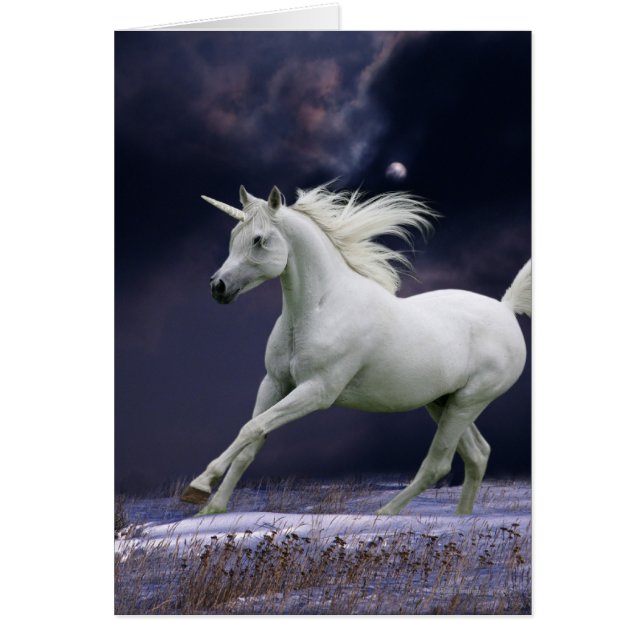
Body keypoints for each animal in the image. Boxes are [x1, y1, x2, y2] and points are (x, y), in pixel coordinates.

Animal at [180, 183, 531, 516]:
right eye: (233, 237)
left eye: (258, 240)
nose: (218, 287)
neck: (321, 309)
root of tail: (506, 308)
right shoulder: (274, 383)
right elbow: (250, 441)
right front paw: (212, 507)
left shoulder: (318, 391)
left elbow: (251, 428)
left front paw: (198, 486)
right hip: (442, 401)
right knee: (478, 454)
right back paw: (461, 518)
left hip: (468, 402)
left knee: (439, 464)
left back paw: (386, 513)